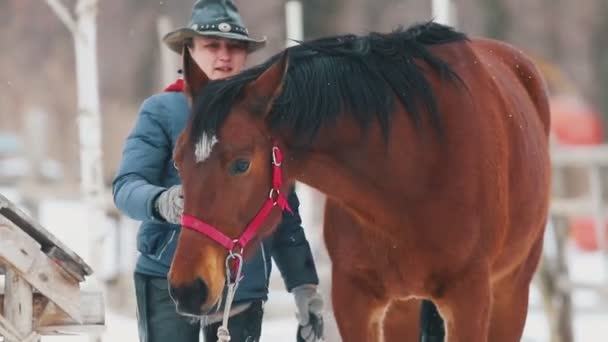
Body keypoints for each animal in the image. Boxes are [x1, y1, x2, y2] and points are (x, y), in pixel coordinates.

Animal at [167, 22, 552, 342]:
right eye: (177, 158)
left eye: (241, 163)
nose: (187, 288)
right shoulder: (354, 300)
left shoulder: (469, 299)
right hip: (404, 308)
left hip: (510, 293)